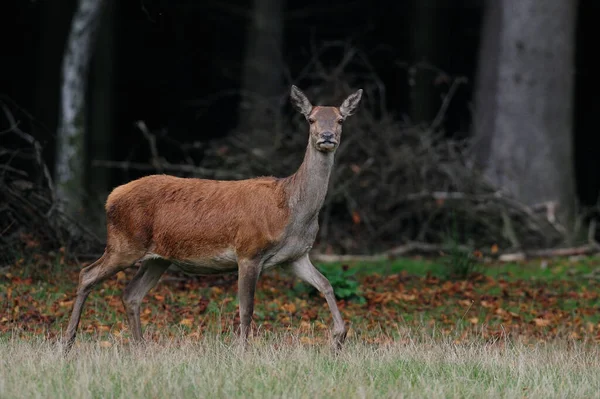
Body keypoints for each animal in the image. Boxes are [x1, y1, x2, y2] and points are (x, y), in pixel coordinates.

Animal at [63, 85, 364, 354]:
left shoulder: (296, 256)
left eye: (340, 119)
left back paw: (140, 349)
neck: (293, 212)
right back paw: (67, 342)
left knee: (131, 294)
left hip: (158, 258)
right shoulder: (248, 251)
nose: (327, 136)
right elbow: (247, 308)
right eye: (310, 119)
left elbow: (326, 284)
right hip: (124, 244)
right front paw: (242, 352)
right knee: (86, 274)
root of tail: (111, 197)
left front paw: (338, 338)